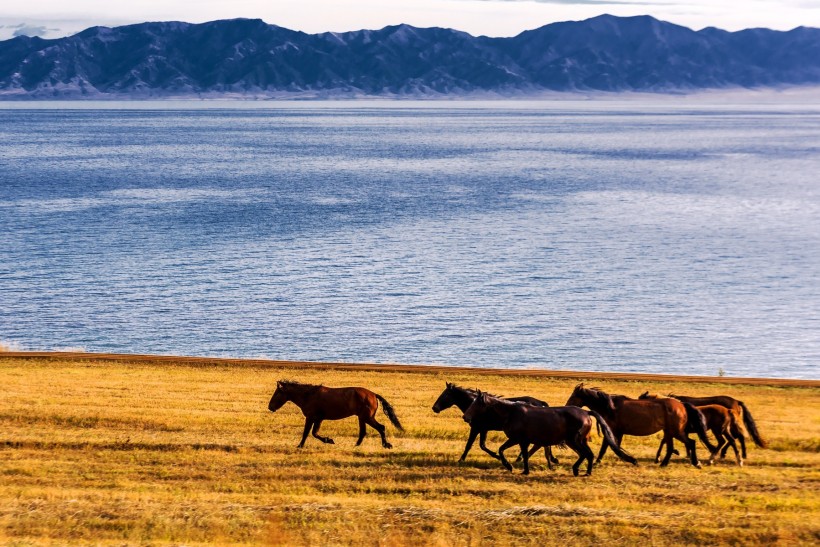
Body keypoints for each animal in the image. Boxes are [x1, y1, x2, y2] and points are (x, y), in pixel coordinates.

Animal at [266, 382, 404, 450]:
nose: (270, 407)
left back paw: (386, 445)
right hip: (362, 417)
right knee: (363, 432)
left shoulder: (312, 417)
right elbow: (314, 433)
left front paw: (301, 446)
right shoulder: (318, 419)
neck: (309, 395)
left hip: (367, 417)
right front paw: (329, 440)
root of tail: (374, 394)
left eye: (277, 393)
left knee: (381, 427)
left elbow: (308, 433)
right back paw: (356, 446)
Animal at [462, 392, 636, 478]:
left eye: (477, 404)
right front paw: (520, 469)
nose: (466, 417)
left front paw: (512, 467)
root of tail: (586, 413)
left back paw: (578, 470)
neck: (511, 413)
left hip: (574, 440)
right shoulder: (520, 440)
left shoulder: (519, 439)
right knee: (589, 454)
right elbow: (513, 452)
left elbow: (509, 452)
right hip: (578, 441)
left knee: (585, 454)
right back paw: (585, 471)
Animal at [564, 384, 712, 468]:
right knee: (671, 448)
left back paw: (696, 463)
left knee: (690, 443)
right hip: (669, 432)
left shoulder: (614, 431)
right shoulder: (617, 432)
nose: (567, 406)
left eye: (573, 396)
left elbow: (608, 447)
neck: (610, 408)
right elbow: (611, 446)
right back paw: (664, 463)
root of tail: (681, 405)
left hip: (676, 431)